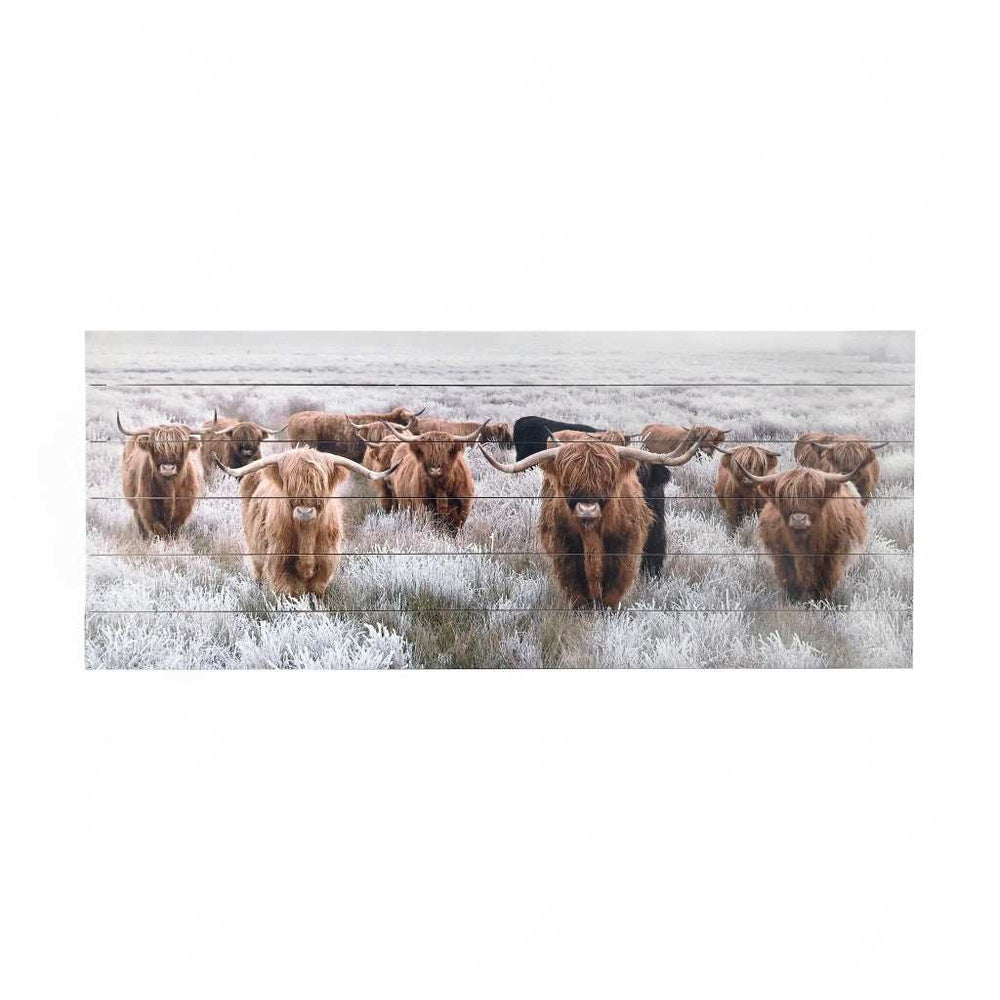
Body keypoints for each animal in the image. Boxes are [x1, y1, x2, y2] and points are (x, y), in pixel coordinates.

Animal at [213, 447, 398, 596]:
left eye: (320, 482)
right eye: (290, 483)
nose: (305, 511)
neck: (306, 535)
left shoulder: (325, 564)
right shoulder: (279, 564)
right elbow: (289, 595)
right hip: (255, 551)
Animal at [480, 434, 705, 608]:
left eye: (609, 480)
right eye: (568, 481)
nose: (587, 509)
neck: (592, 535)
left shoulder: (624, 550)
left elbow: (614, 589)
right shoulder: (564, 551)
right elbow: (576, 589)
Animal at [731, 457, 870, 602]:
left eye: (815, 495)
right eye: (784, 497)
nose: (798, 519)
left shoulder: (832, 556)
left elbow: (825, 583)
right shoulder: (782, 556)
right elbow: (790, 582)